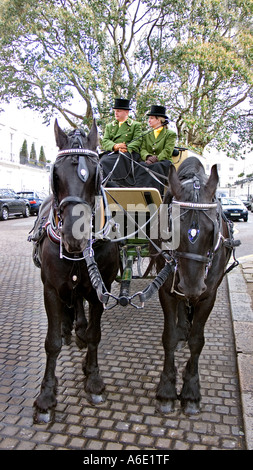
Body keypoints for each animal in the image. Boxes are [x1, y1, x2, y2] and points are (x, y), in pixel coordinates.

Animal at [32, 120, 119, 422]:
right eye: (56, 174)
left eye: (95, 174)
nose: (74, 236)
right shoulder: (50, 289)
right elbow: (52, 342)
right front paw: (47, 394)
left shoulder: (101, 288)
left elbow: (95, 335)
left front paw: (93, 378)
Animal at [154, 158, 239, 414]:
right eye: (171, 229)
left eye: (213, 231)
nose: (192, 286)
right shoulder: (166, 291)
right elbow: (169, 337)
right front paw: (167, 390)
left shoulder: (208, 295)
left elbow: (197, 341)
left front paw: (191, 390)